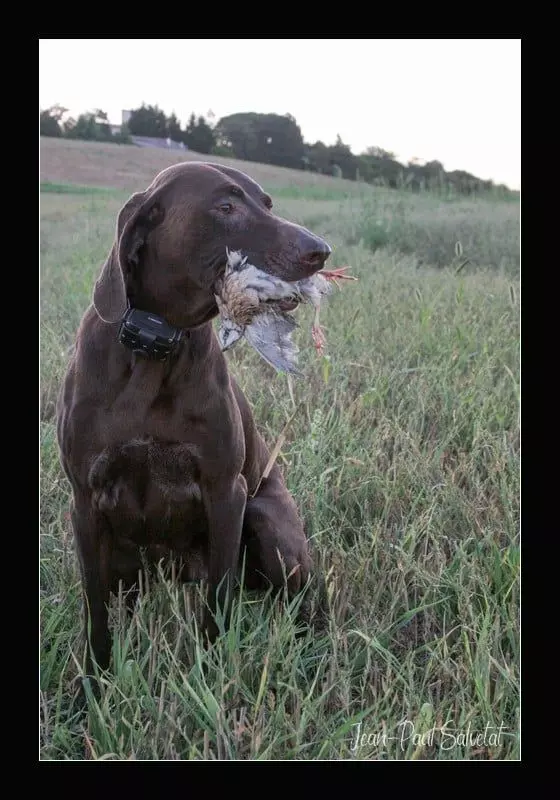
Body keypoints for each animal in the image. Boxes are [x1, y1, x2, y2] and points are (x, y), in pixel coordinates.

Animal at [56, 159, 330, 672]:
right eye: (225, 207)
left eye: (267, 204)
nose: (320, 251)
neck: (154, 349)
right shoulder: (84, 499)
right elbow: (94, 605)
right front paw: (95, 676)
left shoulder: (227, 492)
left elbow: (218, 600)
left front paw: (209, 670)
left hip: (268, 521)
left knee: (303, 600)